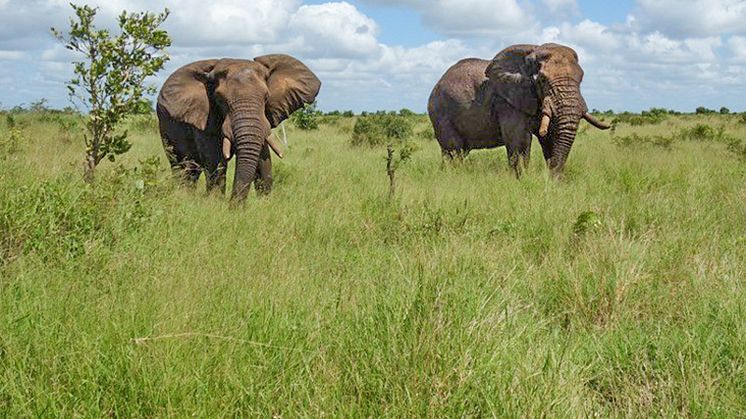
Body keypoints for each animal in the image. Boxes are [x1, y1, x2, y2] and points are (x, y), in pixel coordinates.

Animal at [155, 54, 318, 202]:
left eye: (266, 97)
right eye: (220, 99)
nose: (233, 206)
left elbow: (263, 159)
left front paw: (265, 203)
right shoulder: (204, 117)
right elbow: (215, 159)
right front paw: (215, 203)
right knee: (183, 167)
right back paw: (183, 198)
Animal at [428, 41, 608, 176]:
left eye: (581, 78)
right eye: (542, 80)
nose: (552, 178)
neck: (535, 50)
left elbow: (551, 137)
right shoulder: (507, 102)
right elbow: (519, 140)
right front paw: (521, 180)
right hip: (441, 114)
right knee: (453, 151)